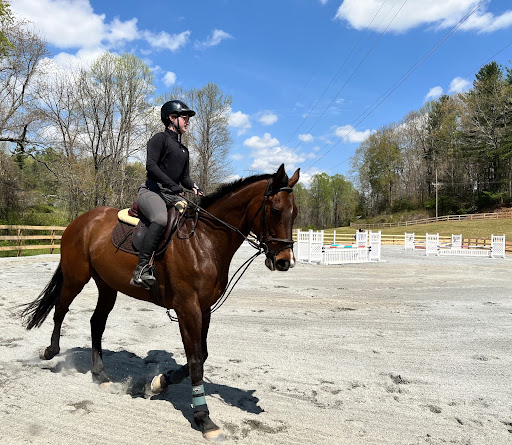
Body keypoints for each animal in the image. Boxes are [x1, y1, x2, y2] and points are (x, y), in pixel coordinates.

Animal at [20, 164, 300, 440]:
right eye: (275, 210)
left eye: (294, 213)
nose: (285, 262)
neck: (204, 240)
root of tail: (80, 220)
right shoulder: (188, 308)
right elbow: (196, 359)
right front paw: (204, 419)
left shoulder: (205, 309)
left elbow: (202, 354)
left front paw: (159, 383)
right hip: (76, 277)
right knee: (60, 309)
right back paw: (50, 351)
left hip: (107, 286)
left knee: (96, 323)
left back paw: (100, 375)